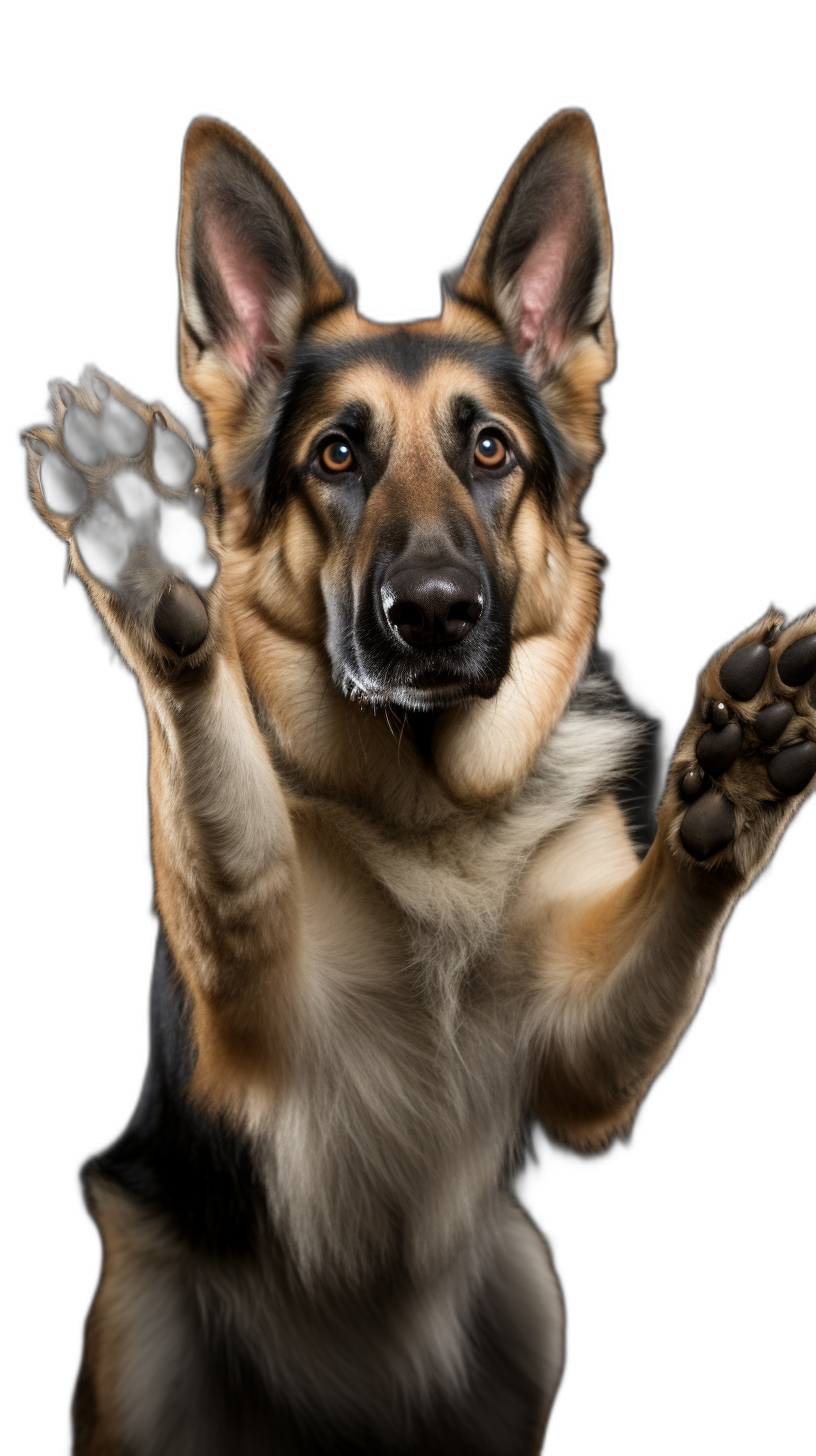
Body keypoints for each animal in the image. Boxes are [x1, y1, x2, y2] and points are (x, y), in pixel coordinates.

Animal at [25, 107, 816, 1450]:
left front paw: (734, 772)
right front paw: (156, 562)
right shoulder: (251, 988)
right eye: (338, 455)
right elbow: (219, 778)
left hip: (524, 1299)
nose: (436, 614)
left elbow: (668, 918)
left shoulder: (589, 1049)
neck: (432, 809)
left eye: (489, 449)